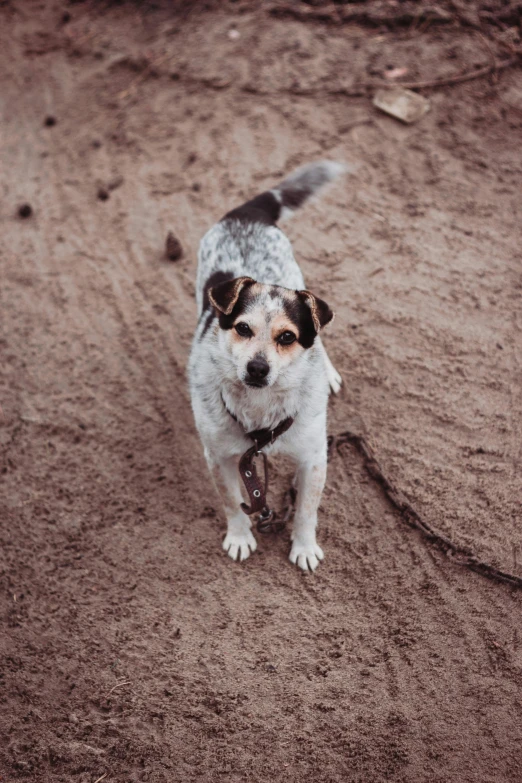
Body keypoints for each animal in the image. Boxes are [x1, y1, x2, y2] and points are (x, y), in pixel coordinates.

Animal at [189, 162, 344, 572]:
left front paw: (304, 547)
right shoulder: (220, 457)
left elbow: (306, 510)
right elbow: (232, 501)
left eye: (287, 337)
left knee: (321, 338)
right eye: (243, 329)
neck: (260, 411)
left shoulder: (313, 457)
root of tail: (248, 211)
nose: (257, 368)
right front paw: (240, 537)